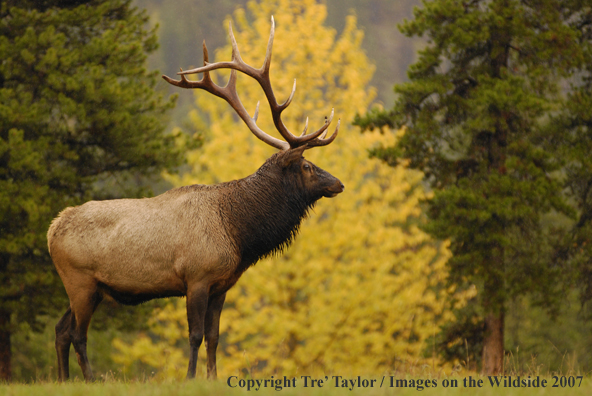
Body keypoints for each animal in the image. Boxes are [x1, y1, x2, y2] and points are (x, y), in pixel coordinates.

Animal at [47, 17, 342, 382]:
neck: (239, 233)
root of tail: (52, 229)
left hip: (91, 288)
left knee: (60, 329)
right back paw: (90, 379)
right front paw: (190, 377)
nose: (339, 183)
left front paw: (213, 377)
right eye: (306, 165)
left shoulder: (222, 285)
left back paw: (63, 380)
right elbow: (195, 335)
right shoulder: (197, 277)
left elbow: (214, 336)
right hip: (80, 280)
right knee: (77, 334)